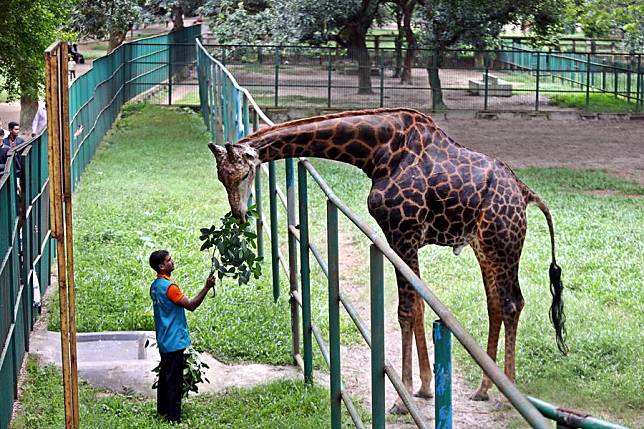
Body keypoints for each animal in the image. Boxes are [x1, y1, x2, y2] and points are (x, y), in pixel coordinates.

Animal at [209, 108, 568, 412]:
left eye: (241, 175)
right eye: (221, 178)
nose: (239, 214)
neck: (376, 154)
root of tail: (525, 193)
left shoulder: (402, 233)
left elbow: (406, 310)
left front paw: (401, 397)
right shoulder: (400, 238)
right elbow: (418, 307)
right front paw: (423, 387)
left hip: (500, 242)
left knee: (511, 303)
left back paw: (508, 394)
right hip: (484, 245)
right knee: (496, 303)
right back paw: (483, 389)